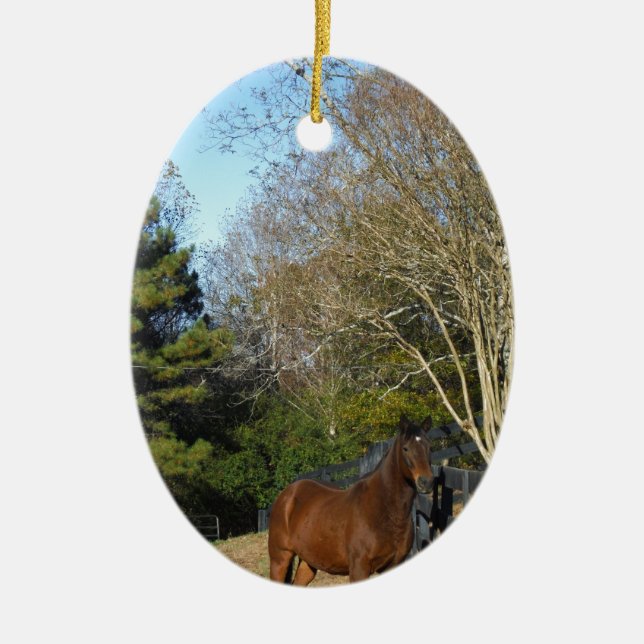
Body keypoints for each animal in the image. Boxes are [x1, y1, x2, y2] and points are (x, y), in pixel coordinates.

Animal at [268, 415, 434, 585]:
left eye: (429, 447)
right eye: (405, 448)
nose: (426, 482)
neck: (384, 511)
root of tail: (287, 495)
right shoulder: (359, 568)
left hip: (308, 561)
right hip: (280, 559)